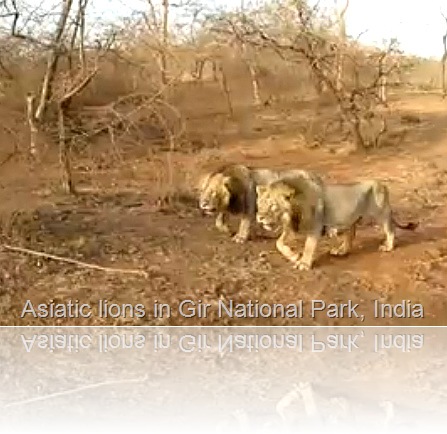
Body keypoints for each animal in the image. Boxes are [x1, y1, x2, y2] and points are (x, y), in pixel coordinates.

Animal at [258, 177, 418, 272]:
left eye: (272, 205)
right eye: (259, 204)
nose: (259, 217)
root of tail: (382, 184)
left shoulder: (315, 227)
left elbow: (309, 246)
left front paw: (303, 263)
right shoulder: (293, 227)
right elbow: (278, 243)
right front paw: (294, 255)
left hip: (381, 213)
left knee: (390, 229)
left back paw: (388, 247)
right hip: (352, 218)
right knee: (351, 234)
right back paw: (341, 251)